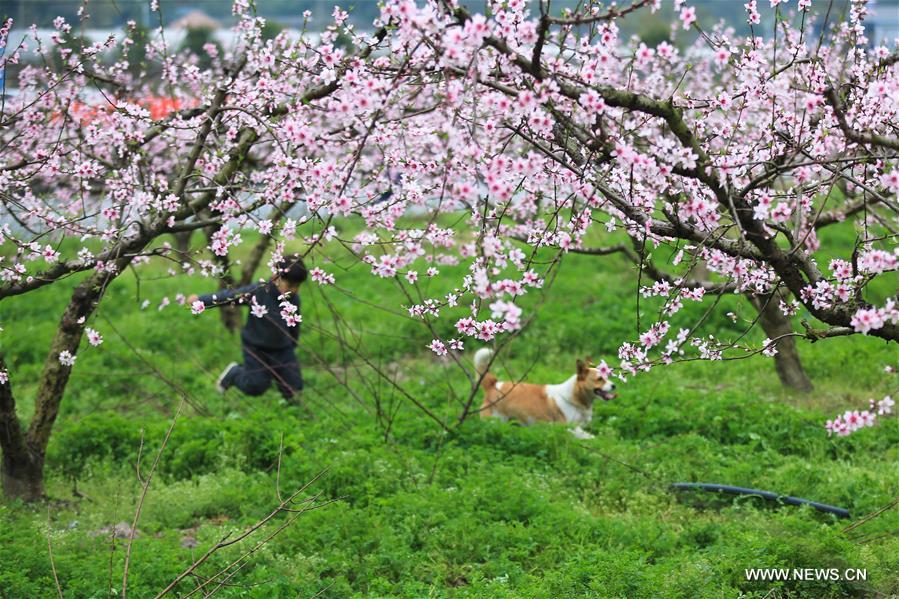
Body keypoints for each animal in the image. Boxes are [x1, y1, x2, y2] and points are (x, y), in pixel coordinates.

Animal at [472, 346, 620, 440]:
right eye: (600, 379)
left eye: (607, 376)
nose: (614, 385)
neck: (574, 398)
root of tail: (493, 384)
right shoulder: (565, 427)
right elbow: (584, 436)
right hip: (495, 421)